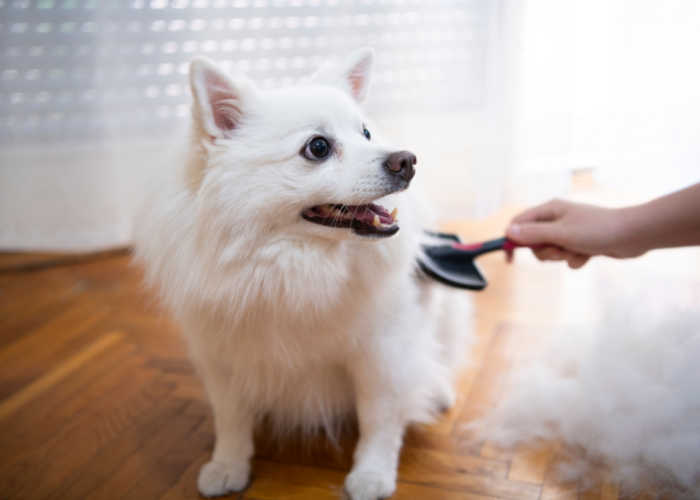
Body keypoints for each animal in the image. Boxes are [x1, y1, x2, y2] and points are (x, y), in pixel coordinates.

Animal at [133, 47, 470, 500]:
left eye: (366, 133)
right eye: (318, 147)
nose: (406, 160)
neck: (294, 266)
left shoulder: (381, 353)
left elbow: (379, 420)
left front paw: (372, 475)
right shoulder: (221, 356)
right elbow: (230, 420)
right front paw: (227, 465)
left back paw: (438, 391)